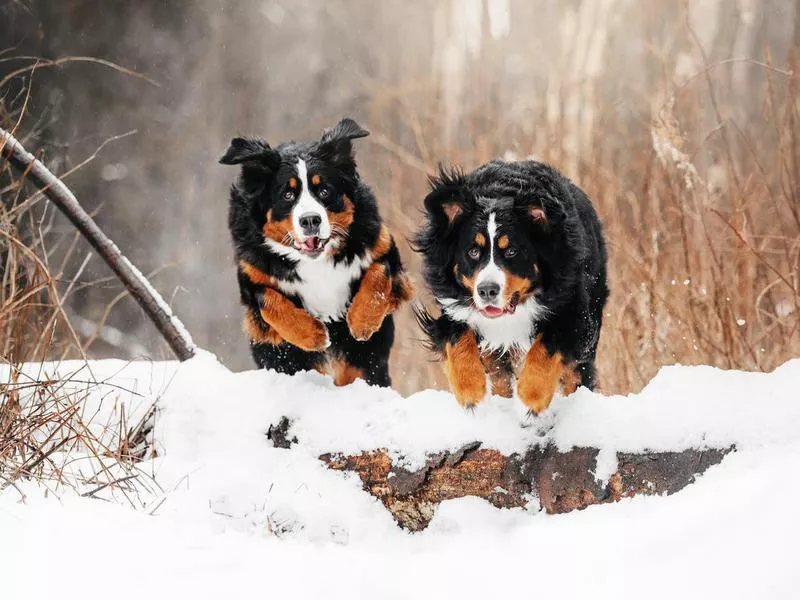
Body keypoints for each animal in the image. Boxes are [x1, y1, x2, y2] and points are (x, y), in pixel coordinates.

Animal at [222, 118, 416, 390]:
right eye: (287, 195)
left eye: (324, 191)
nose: (310, 220)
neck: (315, 261)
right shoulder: (252, 274)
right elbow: (268, 300)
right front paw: (313, 334)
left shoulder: (382, 246)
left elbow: (379, 274)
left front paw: (361, 322)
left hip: (366, 364)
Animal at [412, 159, 608, 412]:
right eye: (473, 251)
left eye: (512, 251)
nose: (487, 290)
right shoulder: (454, 305)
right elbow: (457, 337)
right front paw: (470, 388)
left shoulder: (572, 306)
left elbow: (547, 347)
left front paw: (532, 393)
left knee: (576, 374)